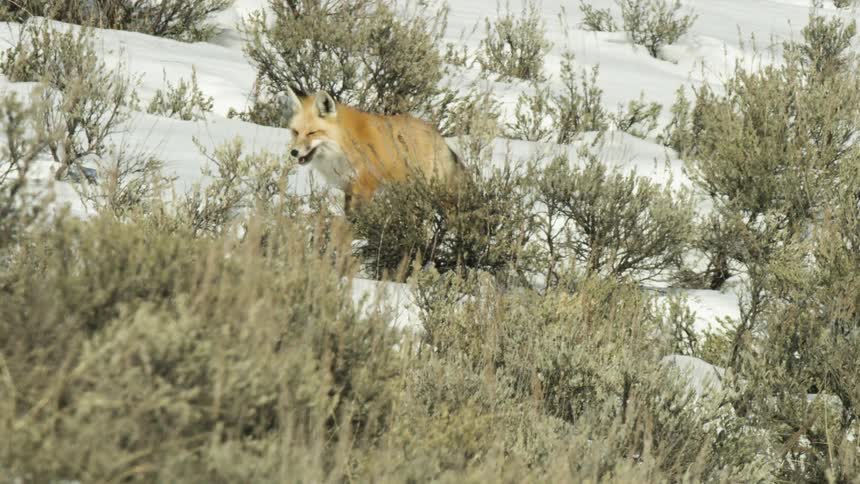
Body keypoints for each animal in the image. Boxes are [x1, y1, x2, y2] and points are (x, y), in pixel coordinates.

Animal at [280, 86, 462, 211]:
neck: (343, 146)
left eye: (312, 133)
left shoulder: (364, 185)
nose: (294, 152)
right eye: (295, 132)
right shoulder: (348, 187)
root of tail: (438, 135)